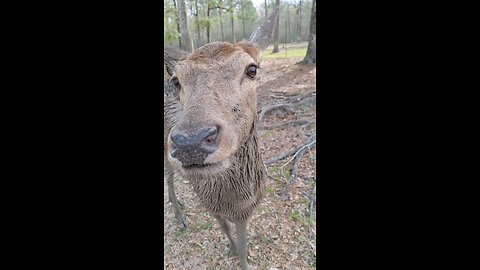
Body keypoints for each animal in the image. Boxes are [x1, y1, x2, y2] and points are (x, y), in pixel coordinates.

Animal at [164, 7, 280, 268]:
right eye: (176, 81)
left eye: (252, 69)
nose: (190, 142)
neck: (232, 197)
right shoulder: (206, 200)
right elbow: (225, 228)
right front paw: (233, 249)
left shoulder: (248, 208)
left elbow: (244, 244)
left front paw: (240, 253)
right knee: (168, 178)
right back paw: (180, 216)